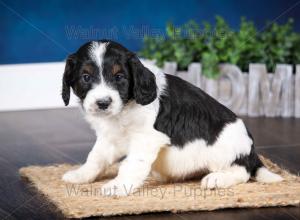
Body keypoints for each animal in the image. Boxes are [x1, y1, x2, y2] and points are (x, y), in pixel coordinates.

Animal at [61, 39, 284, 196]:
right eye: (86, 77)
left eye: (119, 77)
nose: (103, 103)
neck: (124, 109)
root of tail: (252, 151)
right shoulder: (108, 138)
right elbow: (95, 157)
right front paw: (80, 175)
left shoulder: (146, 139)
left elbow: (131, 164)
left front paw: (118, 186)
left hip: (224, 151)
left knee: (242, 171)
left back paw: (217, 179)